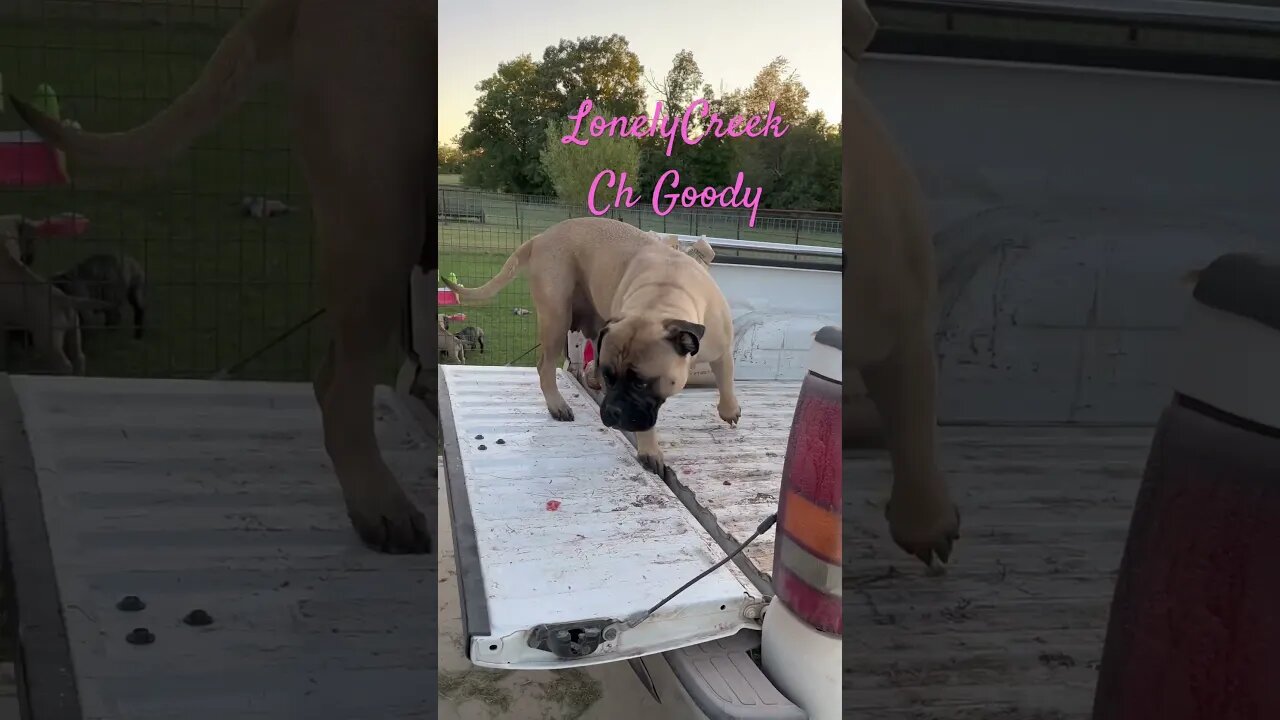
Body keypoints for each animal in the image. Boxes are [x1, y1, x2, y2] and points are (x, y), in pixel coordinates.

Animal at [440, 219, 742, 476]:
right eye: (612, 377)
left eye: (641, 383)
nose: (613, 412)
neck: (662, 297)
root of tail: (541, 237)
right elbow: (646, 423)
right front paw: (649, 450)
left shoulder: (721, 349)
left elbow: (726, 378)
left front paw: (729, 409)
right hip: (556, 316)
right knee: (545, 365)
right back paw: (558, 405)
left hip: (592, 321)